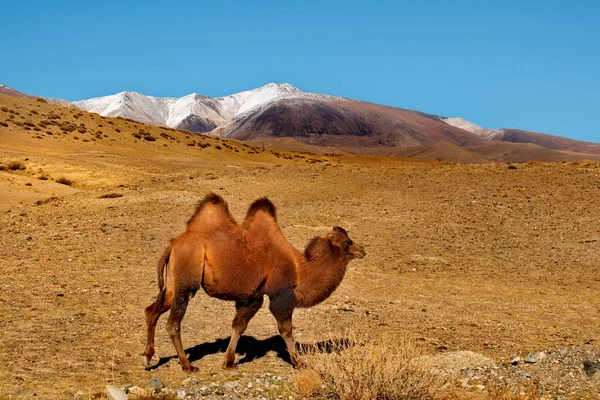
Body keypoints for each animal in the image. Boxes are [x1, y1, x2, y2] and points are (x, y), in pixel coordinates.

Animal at [141, 194, 366, 372]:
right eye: (347, 242)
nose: (362, 250)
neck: (299, 269)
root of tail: (172, 246)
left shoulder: (252, 295)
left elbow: (238, 326)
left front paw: (229, 362)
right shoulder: (280, 293)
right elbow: (285, 329)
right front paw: (298, 362)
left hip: (172, 284)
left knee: (152, 310)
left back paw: (148, 357)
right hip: (186, 282)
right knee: (173, 323)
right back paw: (188, 365)